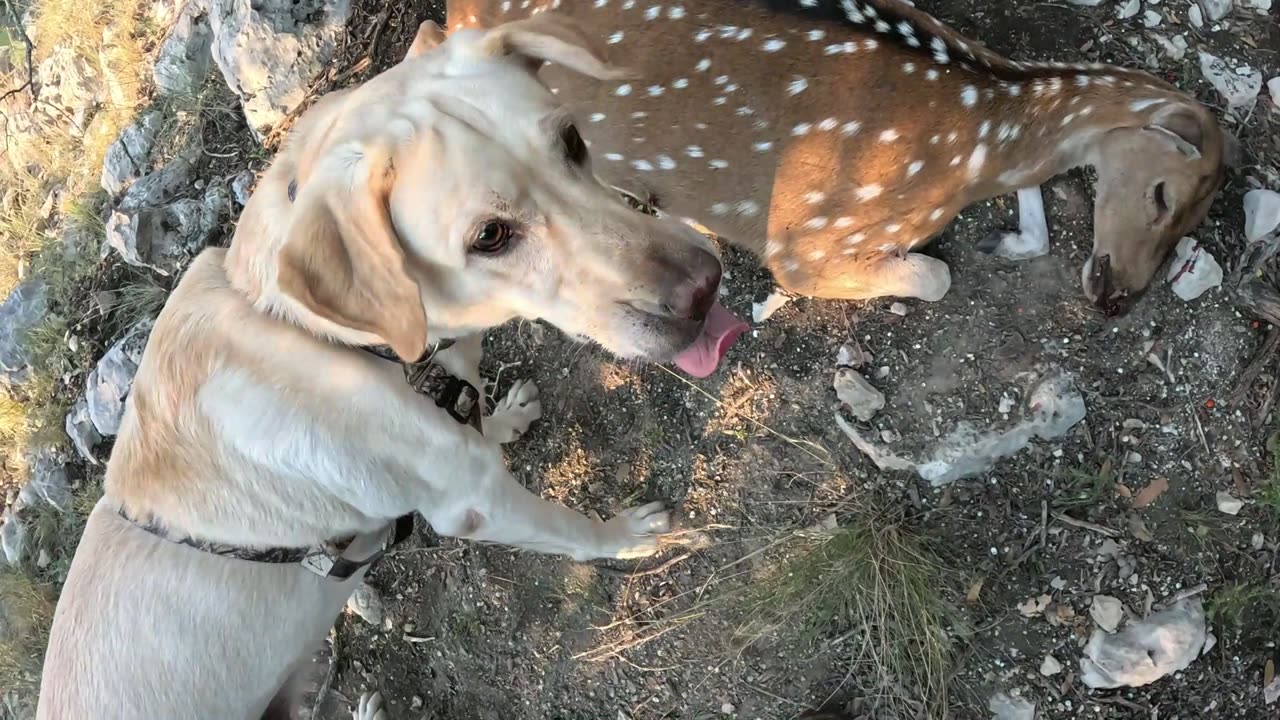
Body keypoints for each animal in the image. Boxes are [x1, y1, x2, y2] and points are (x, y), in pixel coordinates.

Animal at [40, 15, 747, 717]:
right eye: (490, 236)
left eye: (573, 141)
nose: (703, 288)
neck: (327, 336)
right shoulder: (476, 504)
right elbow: (569, 527)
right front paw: (626, 535)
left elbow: (471, 416)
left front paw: (507, 417)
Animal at [448, 0, 1228, 313]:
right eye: (1163, 193)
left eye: (1196, 220)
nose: (1118, 299)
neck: (982, 142)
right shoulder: (809, 241)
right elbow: (935, 276)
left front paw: (1009, 240)